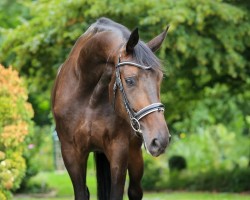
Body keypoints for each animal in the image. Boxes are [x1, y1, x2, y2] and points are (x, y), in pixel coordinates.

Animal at [51, 17, 171, 200]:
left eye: (160, 79)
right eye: (129, 80)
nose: (160, 139)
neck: (89, 98)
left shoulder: (118, 150)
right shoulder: (70, 153)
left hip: (135, 152)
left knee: (135, 191)